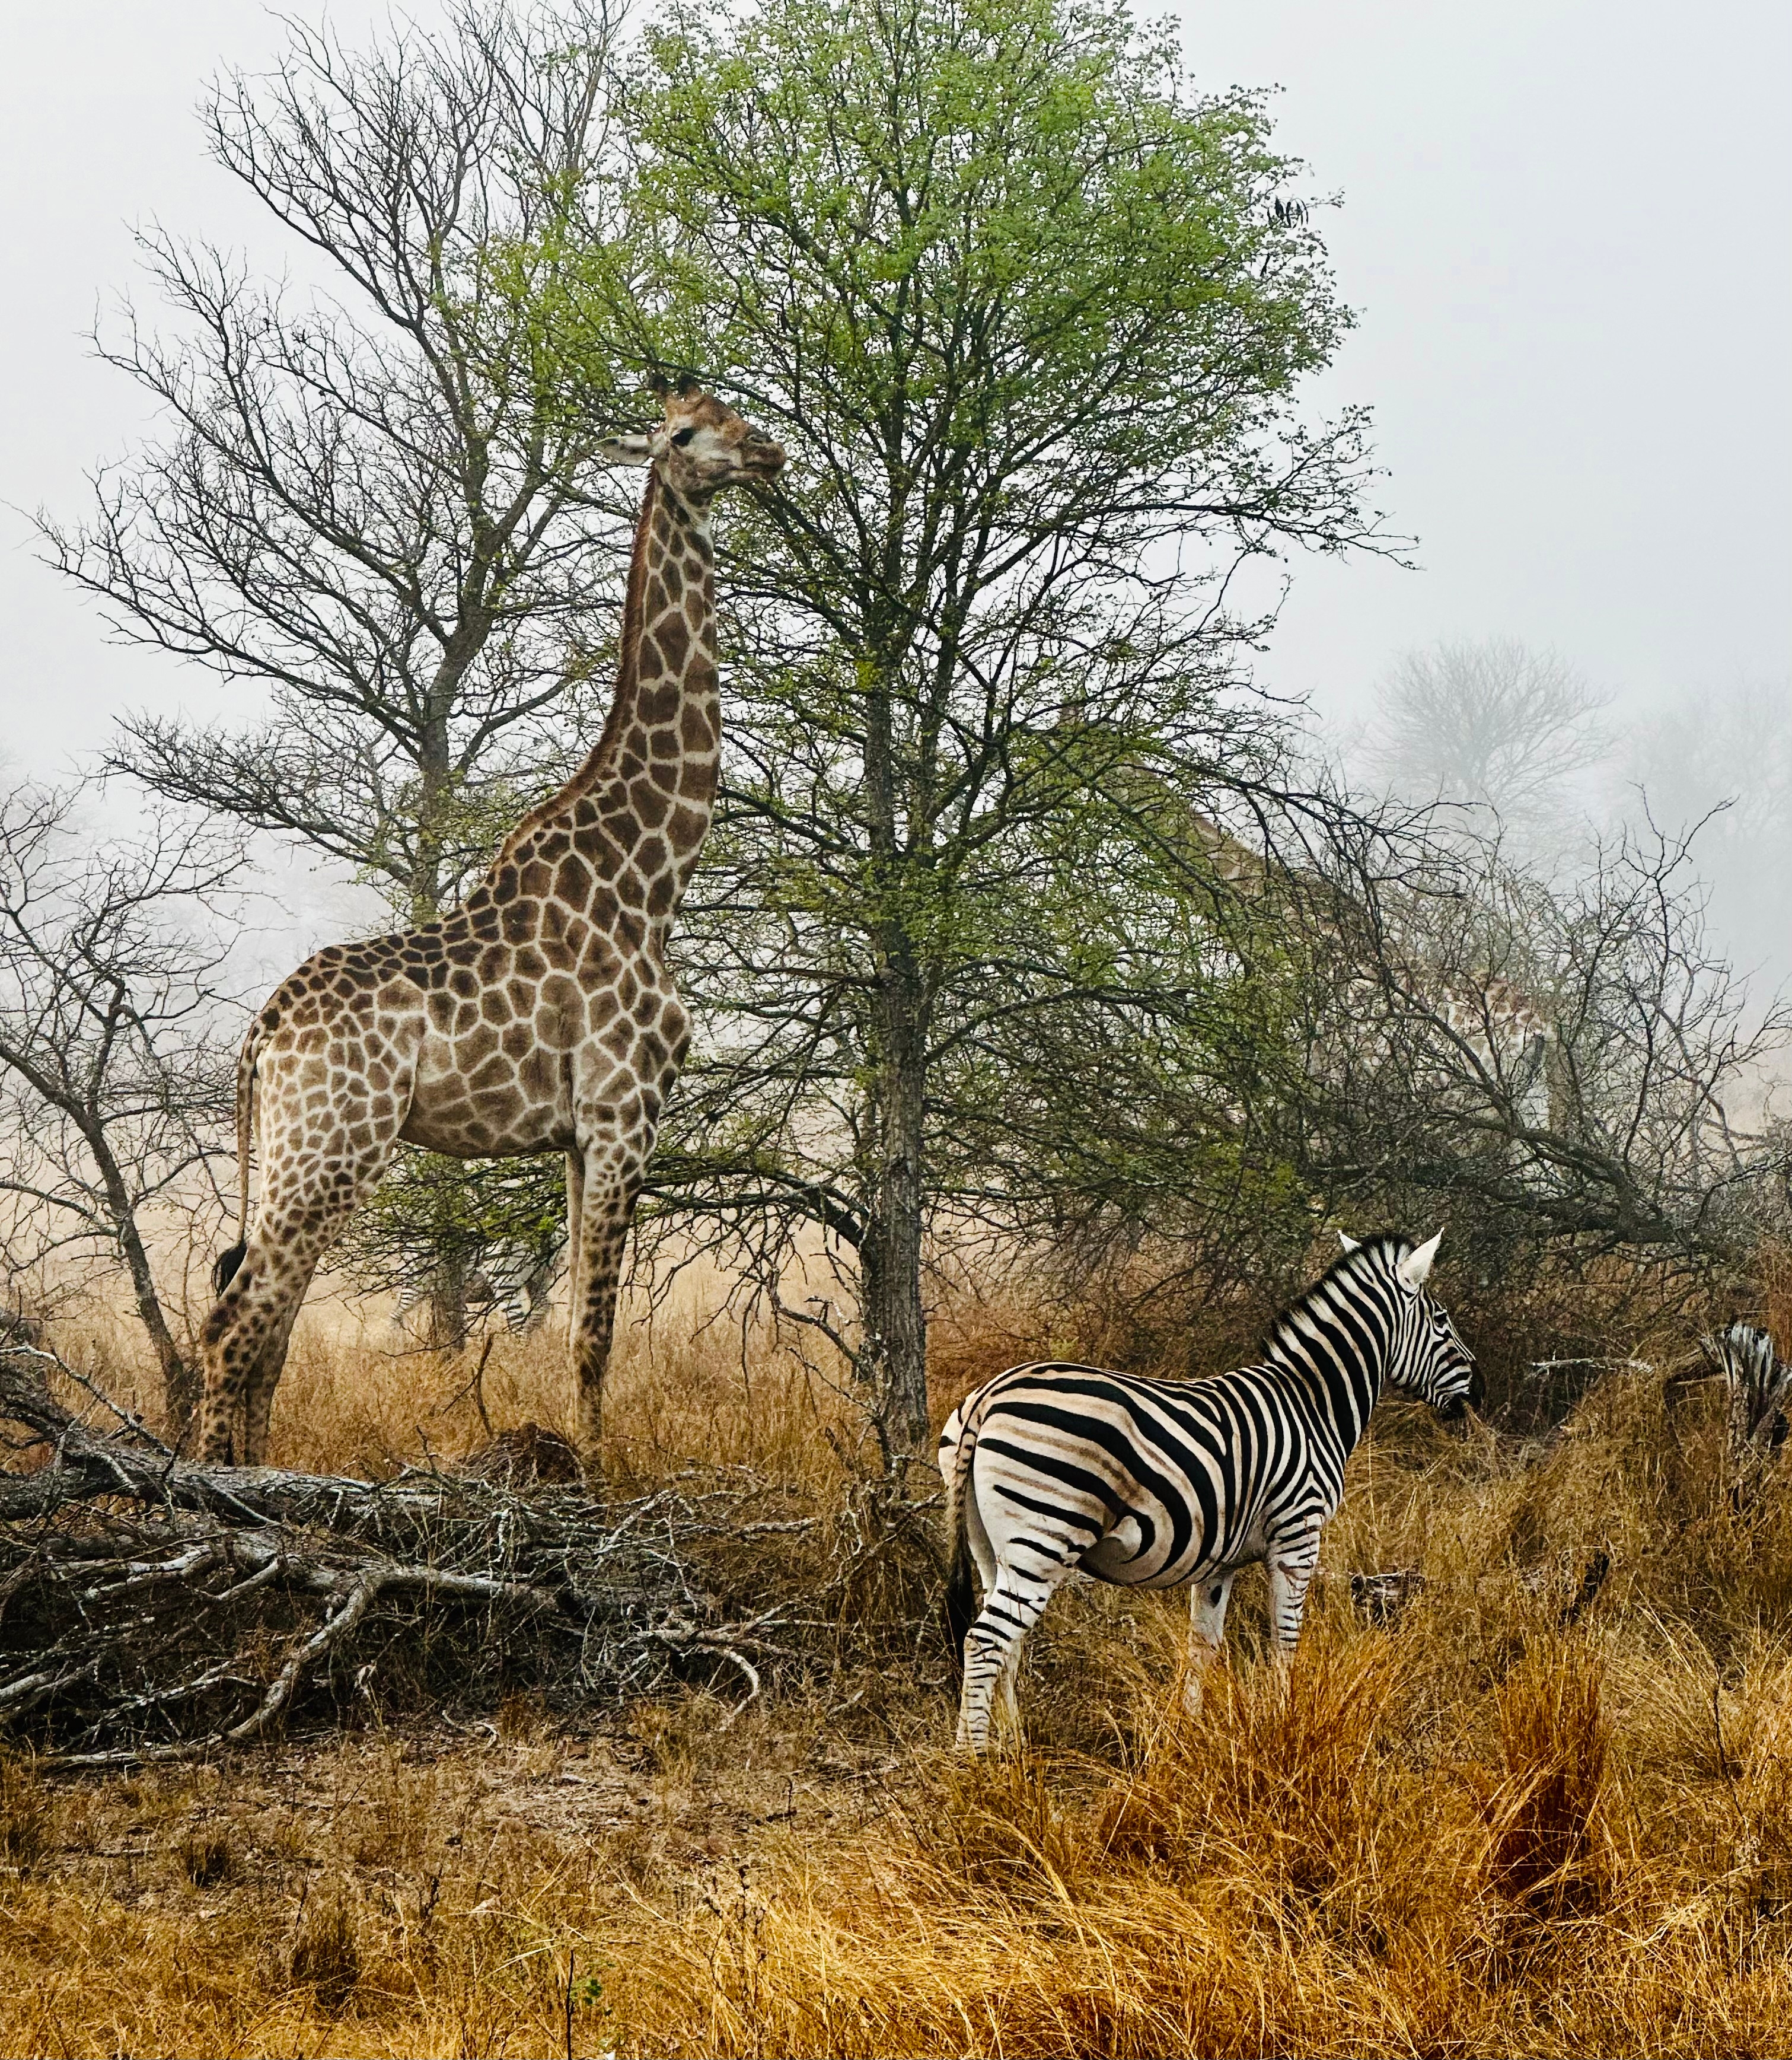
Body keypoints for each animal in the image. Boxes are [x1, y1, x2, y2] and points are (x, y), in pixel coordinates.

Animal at [196, 376, 783, 1465]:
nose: (767, 453)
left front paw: (578, 1458)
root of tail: (258, 1037)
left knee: (263, 1330)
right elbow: (593, 1330)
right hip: (332, 1150)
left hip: (292, 1157)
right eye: (685, 434)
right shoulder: (625, 1108)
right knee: (233, 1323)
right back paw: (213, 1493)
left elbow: (579, 1325)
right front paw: (595, 1476)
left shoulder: (577, 1132)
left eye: (734, 413)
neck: (652, 874)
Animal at [938, 1229, 1481, 1751]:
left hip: (992, 1547)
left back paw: (1013, 1746)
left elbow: (1203, 1646)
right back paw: (972, 1759)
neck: (1313, 1404)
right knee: (984, 1641)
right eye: (1441, 1320)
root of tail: (991, 1394)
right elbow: (1285, 1641)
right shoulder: (1298, 1537)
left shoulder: (1220, 1561)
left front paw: (1190, 1733)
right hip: (1045, 1536)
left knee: (1006, 1641)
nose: (1475, 1389)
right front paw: (1283, 1723)